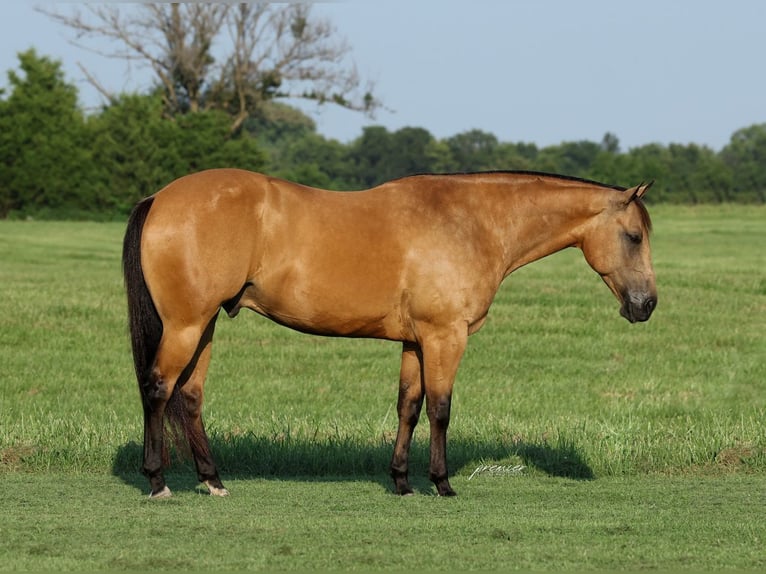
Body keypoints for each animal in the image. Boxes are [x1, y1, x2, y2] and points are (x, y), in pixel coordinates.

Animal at [122, 169, 656, 499]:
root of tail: (159, 198)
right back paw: (157, 481)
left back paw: (212, 480)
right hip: (186, 325)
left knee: (189, 396)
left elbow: (409, 406)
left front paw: (401, 481)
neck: (472, 222)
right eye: (634, 237)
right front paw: (441, 483)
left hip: (205, 324)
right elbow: (440, 409)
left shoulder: (415, 341)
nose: (646, 305)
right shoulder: (445, 336)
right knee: (158, 388)